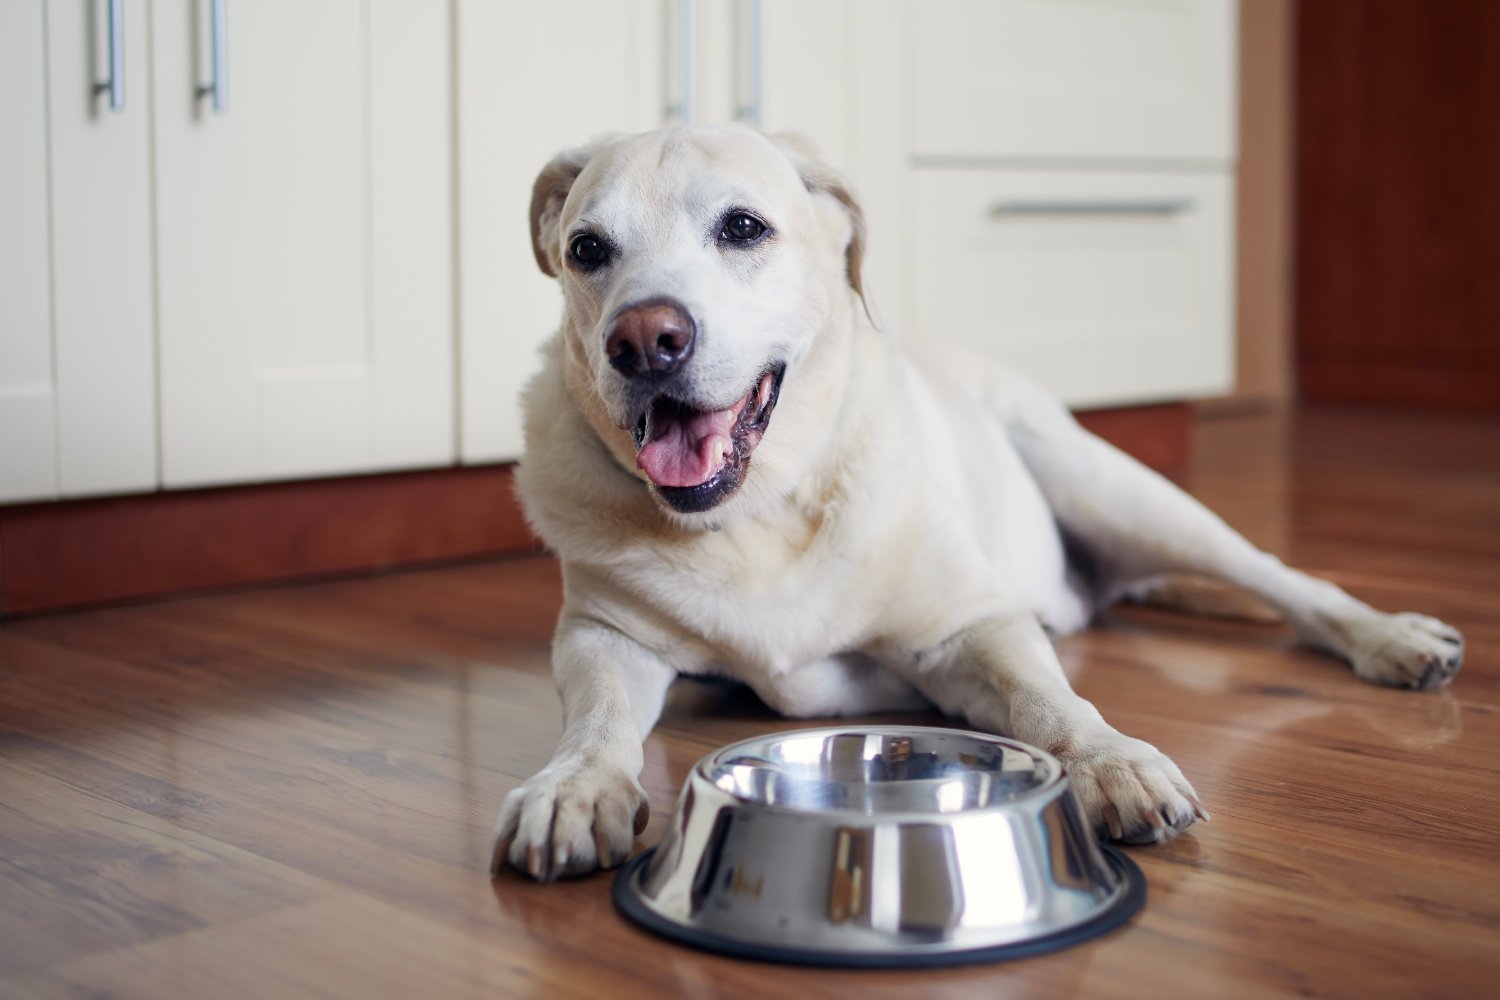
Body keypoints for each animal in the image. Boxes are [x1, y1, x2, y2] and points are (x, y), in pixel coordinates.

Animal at [489, 125, 1464, 881]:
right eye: (587, 250)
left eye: (742, 227)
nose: (642, 340)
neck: (759, 513)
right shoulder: (604, 638)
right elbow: (597, 720)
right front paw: (573, 787)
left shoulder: (971, 626)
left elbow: (1050, 702)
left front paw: (1110, 762)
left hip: (1117, 490)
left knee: (1287, 581)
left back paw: (1392, 638)